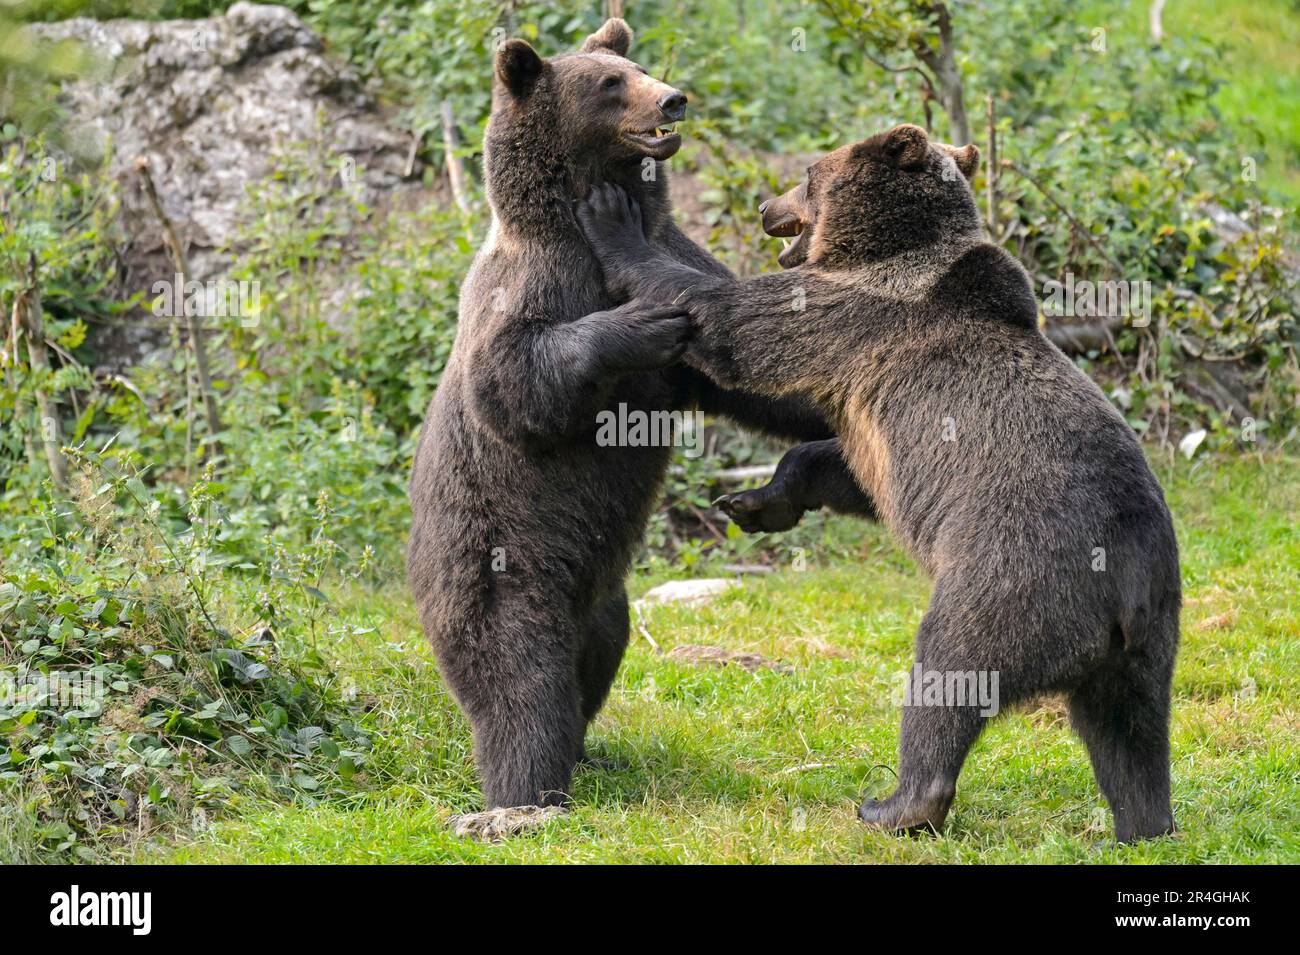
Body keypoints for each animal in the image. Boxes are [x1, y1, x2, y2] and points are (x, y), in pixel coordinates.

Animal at [408, 18, 852, 815]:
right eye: (611, 83)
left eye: (636, 64)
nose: (673, 99)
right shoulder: (533, 285)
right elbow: (515, 379)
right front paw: (643, 319)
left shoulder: (684, 259)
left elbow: (754, 371)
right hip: (498, 563)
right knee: (518, 677)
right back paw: (526, 790)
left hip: (604, 594)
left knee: (598, 654)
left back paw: (590, 751)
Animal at [577, 121, 1180, 841]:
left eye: (808, 172)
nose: (765, 206)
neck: (888, 251)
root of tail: (1124, 581)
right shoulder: (876, 428)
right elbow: (834, 461)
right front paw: (753, 502)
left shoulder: (852, 318)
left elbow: (734, 324)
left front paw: (612, 218)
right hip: (1150, 632)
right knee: (1131, 731)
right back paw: (1147, 820)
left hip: (1016, 574)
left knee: (949, 671)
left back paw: (895, 803)